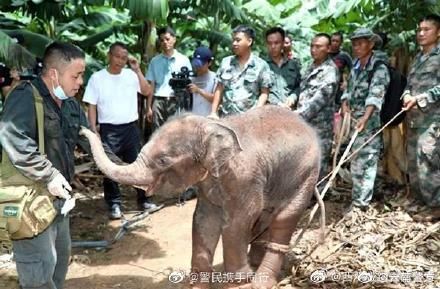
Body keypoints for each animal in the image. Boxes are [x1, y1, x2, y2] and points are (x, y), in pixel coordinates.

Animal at [81, 104, 320, 286]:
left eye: (163, 160)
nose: (84, 129)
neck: (213, 126)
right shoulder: (209, 183)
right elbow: (203, 220)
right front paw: (199, 281)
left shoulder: (245, 178)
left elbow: (237, 222)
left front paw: (239, 280)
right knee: (266, 218)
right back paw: (254, 264)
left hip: (306, 174)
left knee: (283, 219)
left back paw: (259, 282)